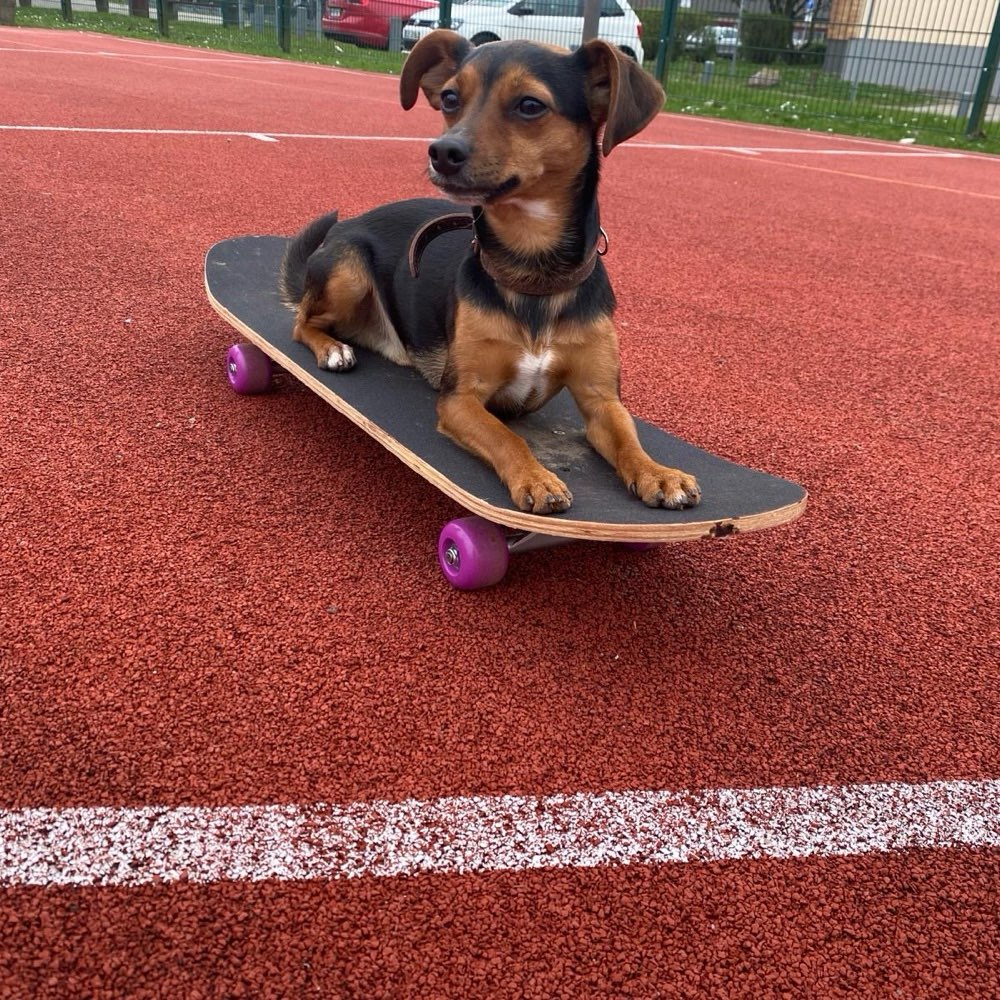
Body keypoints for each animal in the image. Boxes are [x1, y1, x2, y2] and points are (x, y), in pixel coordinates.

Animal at [280, 29, 704, 516]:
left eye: (530, 105)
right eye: (449, 98)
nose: (442, 152)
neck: (534, 273)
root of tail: (347, 224)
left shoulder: (601, 399)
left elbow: (628, 440)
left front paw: (658, 472)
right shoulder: (461, 398)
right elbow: (507, 438)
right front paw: (536, 477)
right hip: (347, 268)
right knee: (301, 322)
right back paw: (332, 348)